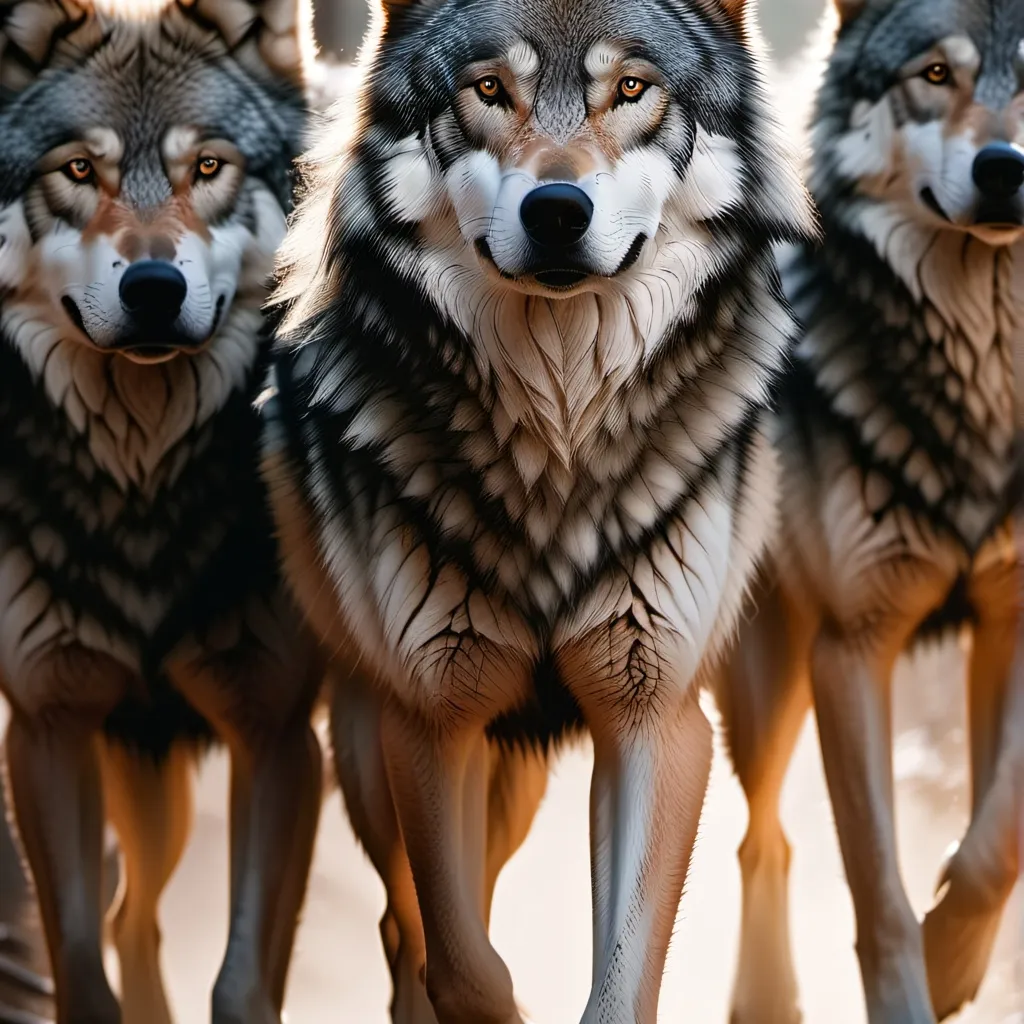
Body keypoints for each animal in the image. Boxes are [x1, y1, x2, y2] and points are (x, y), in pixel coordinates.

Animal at [0, 0, 324, 1022]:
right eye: (78, 171)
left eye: (208, 168)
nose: (153, 289)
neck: (143, 483)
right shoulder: (48, 728)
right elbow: (79, 965)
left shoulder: (279, 735)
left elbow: (243, 980)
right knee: (127, 920)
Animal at [263, 0, 814, 1020]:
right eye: (489, 89)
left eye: (631, 89)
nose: (557, 210)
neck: (560, 432)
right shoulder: (428, 719)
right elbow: (461, 965)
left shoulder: (656, 720)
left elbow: (621, 979)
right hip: (368, 736)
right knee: (405, 928)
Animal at [719, 2, 1024, 1023]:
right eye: (935, 75)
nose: (1006, 167)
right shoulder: (853, 647)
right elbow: (879, 893)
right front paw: (919, 978)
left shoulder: (1010, 628)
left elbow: (996, 834)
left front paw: (956, 957)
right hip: (767, 684)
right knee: (763, 837)